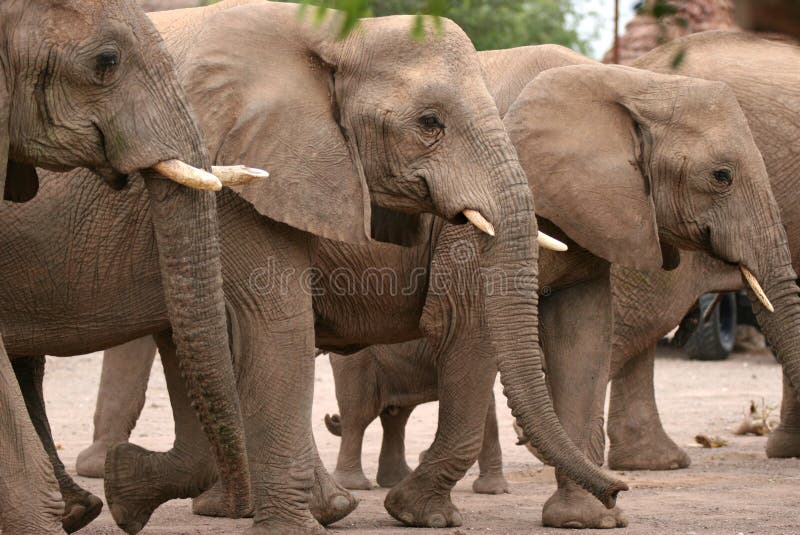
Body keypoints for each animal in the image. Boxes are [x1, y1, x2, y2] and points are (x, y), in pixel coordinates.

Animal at [73, 40, 792, 528]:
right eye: (722, 176)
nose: (621, 490)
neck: (628, 83)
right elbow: (469, 330)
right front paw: (417, 513)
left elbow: (582, 339)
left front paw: (588, 520)